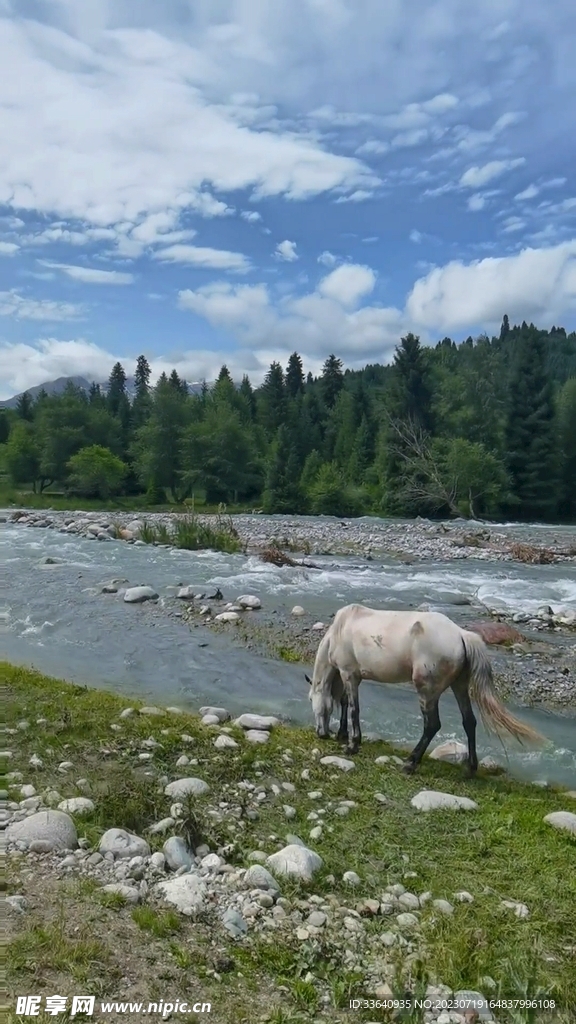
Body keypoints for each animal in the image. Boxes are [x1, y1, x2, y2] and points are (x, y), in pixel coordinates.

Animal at [305, 604, 543, 775]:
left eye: (311, 699)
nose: (321, 734)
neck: (340, 630)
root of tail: (461, 635)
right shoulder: (349, 677)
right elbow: (345, 702)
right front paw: (343, 736)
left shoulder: (349, 675)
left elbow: (354, 708)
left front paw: (352, 745)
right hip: (459, 686)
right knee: (469, 722)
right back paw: (470, 769)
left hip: (427, 690)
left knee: (432, 725)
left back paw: (410, 763)